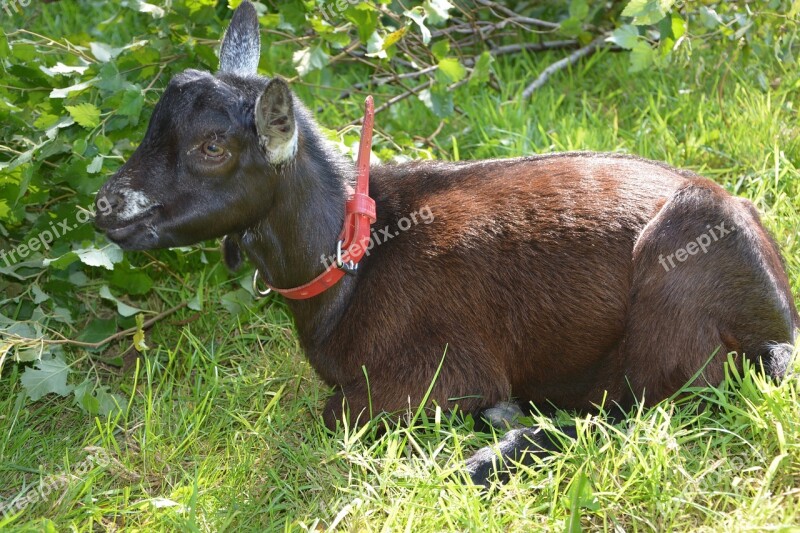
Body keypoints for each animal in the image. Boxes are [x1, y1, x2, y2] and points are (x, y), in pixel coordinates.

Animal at [92, 2, 792, 484]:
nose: (106, 206)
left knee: (635, 409)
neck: (354, 260)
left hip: (676, 320)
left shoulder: (425, 376)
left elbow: (330, 415)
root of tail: (779, 314)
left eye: (212, 146)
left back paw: (492, 453)